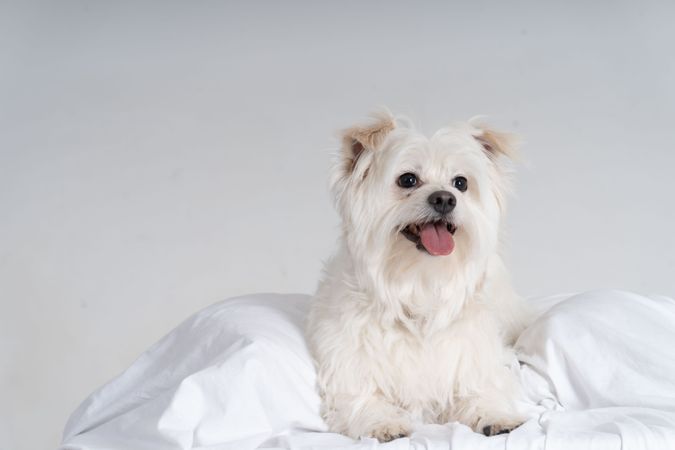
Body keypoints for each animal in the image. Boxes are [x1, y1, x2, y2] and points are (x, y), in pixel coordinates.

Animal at [306, 110, 532, 442]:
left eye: (461, 183)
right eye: (408, 179)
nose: (445, 199)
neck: (419, 283)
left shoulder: (474, 357)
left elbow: (480, 389)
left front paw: (495, 414)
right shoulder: (348, 365)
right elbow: (363, 398)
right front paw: (383, 423)